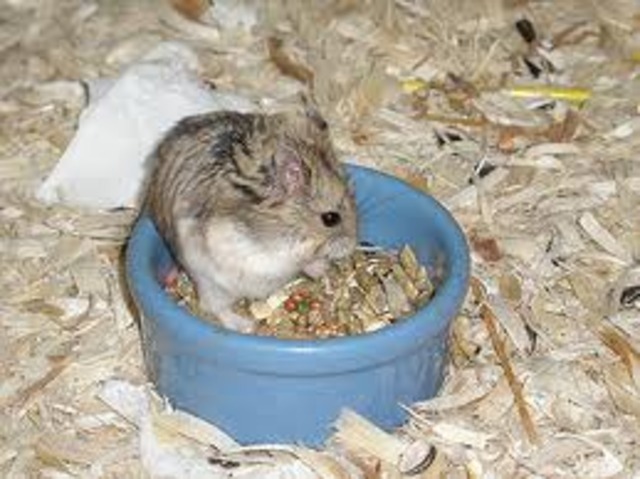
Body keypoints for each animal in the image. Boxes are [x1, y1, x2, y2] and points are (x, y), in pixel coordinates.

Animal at [144, 98, 358, 332]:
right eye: (330, 218)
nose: (353, 245)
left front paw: (322, 270)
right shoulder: (262, 254)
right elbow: (295, 260)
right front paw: (322, 268)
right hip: (209, 281)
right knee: (213, 307)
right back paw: (245, 325)